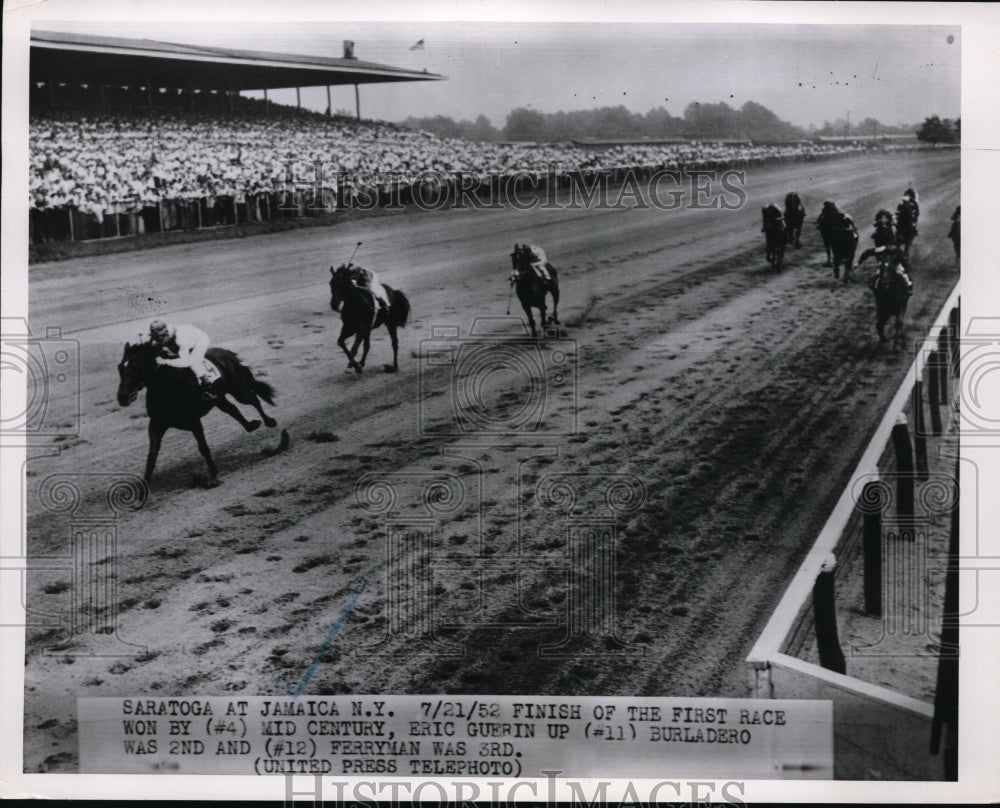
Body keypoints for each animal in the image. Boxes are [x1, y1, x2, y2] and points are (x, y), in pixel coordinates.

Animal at [117, 340, 278, 486]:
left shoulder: (194, 421)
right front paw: (144, 486)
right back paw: (251, 425)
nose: (122, 397)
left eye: (135, 366)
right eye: (120, 368)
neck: (168, 385)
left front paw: (213, 476)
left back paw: (269, 421)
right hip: (219, 399)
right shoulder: (157, 425)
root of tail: (226, 352)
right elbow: (151, 457)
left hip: (238, 390)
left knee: (253, 399)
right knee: (233, 409)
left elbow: (204, 448)